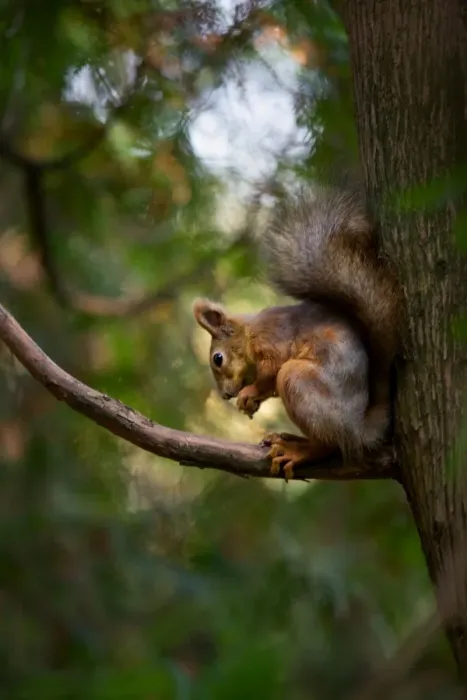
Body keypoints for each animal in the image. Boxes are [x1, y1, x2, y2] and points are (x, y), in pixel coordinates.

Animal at [193, 184, 401, 481]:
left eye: (217, 359)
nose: (226, 396)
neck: (249, 333)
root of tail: (358, 429)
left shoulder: (273, 341)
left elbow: (270, 371)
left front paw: (249, 393)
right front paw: (251, 401)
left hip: (298, 380)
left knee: (331, 444)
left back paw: (299, 450)